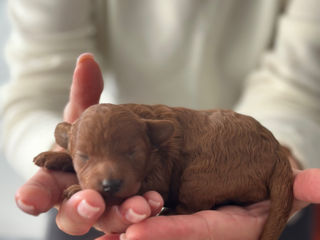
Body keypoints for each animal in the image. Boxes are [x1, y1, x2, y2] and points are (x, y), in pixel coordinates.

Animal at [34, 103, 292, 240]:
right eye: (83, 157)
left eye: (132, 153)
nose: (109, 185)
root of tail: (277, 149)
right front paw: (53, 157)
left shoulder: (159, 175)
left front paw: (75, 187)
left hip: (201, 176)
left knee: (195, 205)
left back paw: (170, 212)